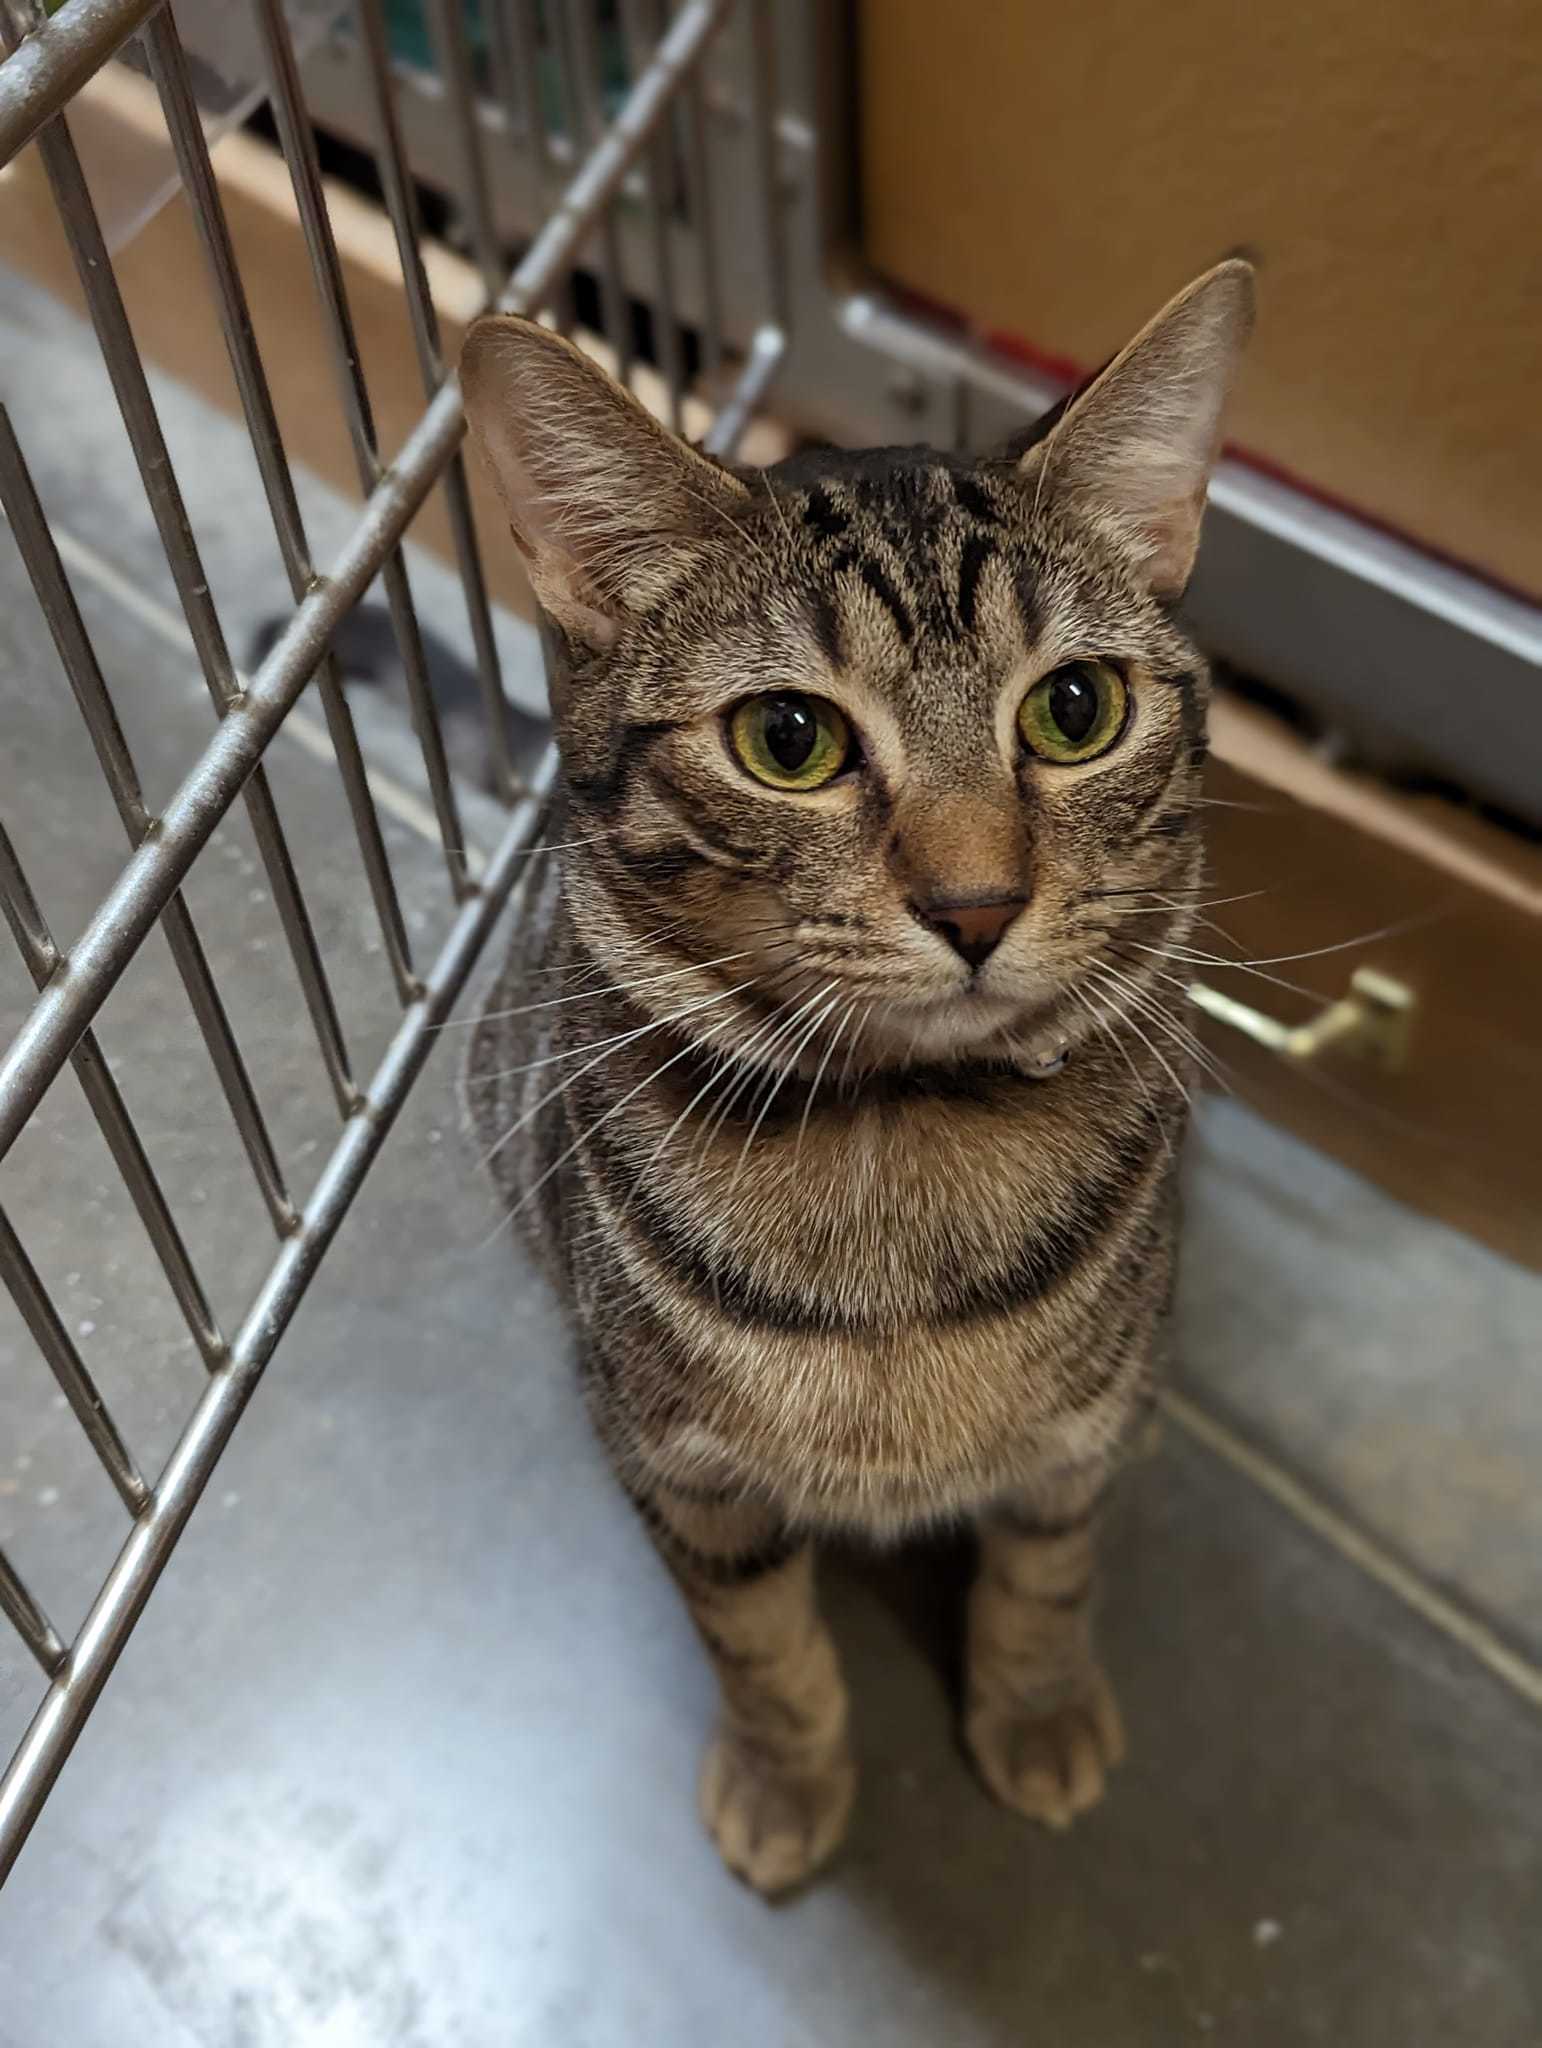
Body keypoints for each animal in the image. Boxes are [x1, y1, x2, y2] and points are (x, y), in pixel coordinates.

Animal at [456, 264, 1253, 1892]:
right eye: (788, 738)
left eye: (1075, 709)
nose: (975, 904)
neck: (903, 1158)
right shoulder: (679, 1469)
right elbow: (758, 1642)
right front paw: (784, 1773)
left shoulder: (1083, 1433)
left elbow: (1048, 1572)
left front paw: (1037, 1709)